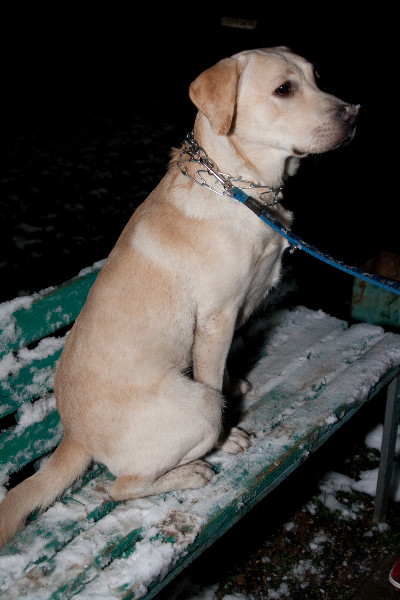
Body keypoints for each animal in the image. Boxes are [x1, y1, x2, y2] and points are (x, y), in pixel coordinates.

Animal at [0, 47, 358, 547]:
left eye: (318, 78)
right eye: (284, 89)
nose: (354, 113)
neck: (239, 186)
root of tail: (74, 438)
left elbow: (223, 370)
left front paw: (235, 384)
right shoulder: (215, 318)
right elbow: (212, 378)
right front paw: (230, 433)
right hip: (194, 410)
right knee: (120, 486)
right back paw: (189, 473)